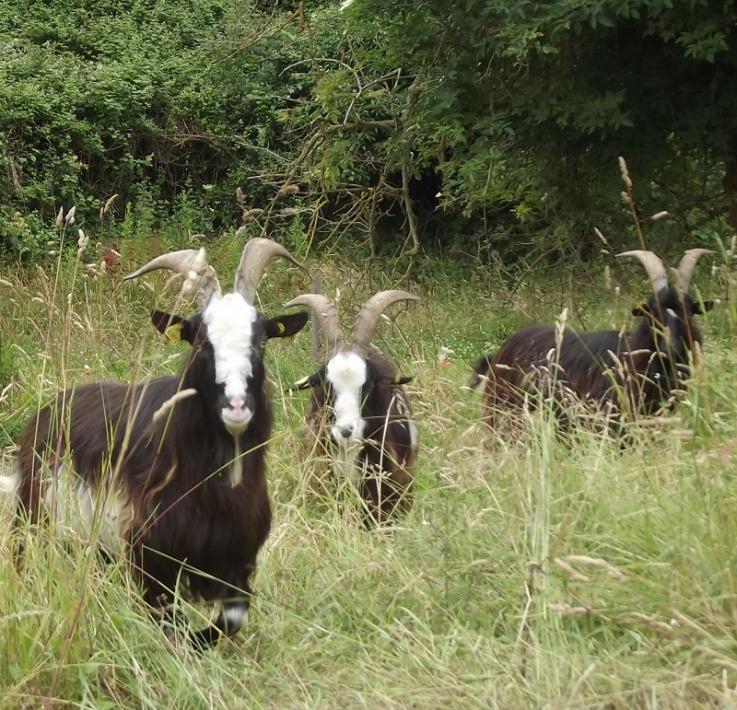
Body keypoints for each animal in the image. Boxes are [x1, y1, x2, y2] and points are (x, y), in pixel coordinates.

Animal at [0, 239, 308, 652]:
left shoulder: (237, 556)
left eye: (260, 341)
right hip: (35, 523)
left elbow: (231, 619)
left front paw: (200, 641)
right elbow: (165, 619)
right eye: (200, 342)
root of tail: (49, 410)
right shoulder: (151, 557)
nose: (237, 405)